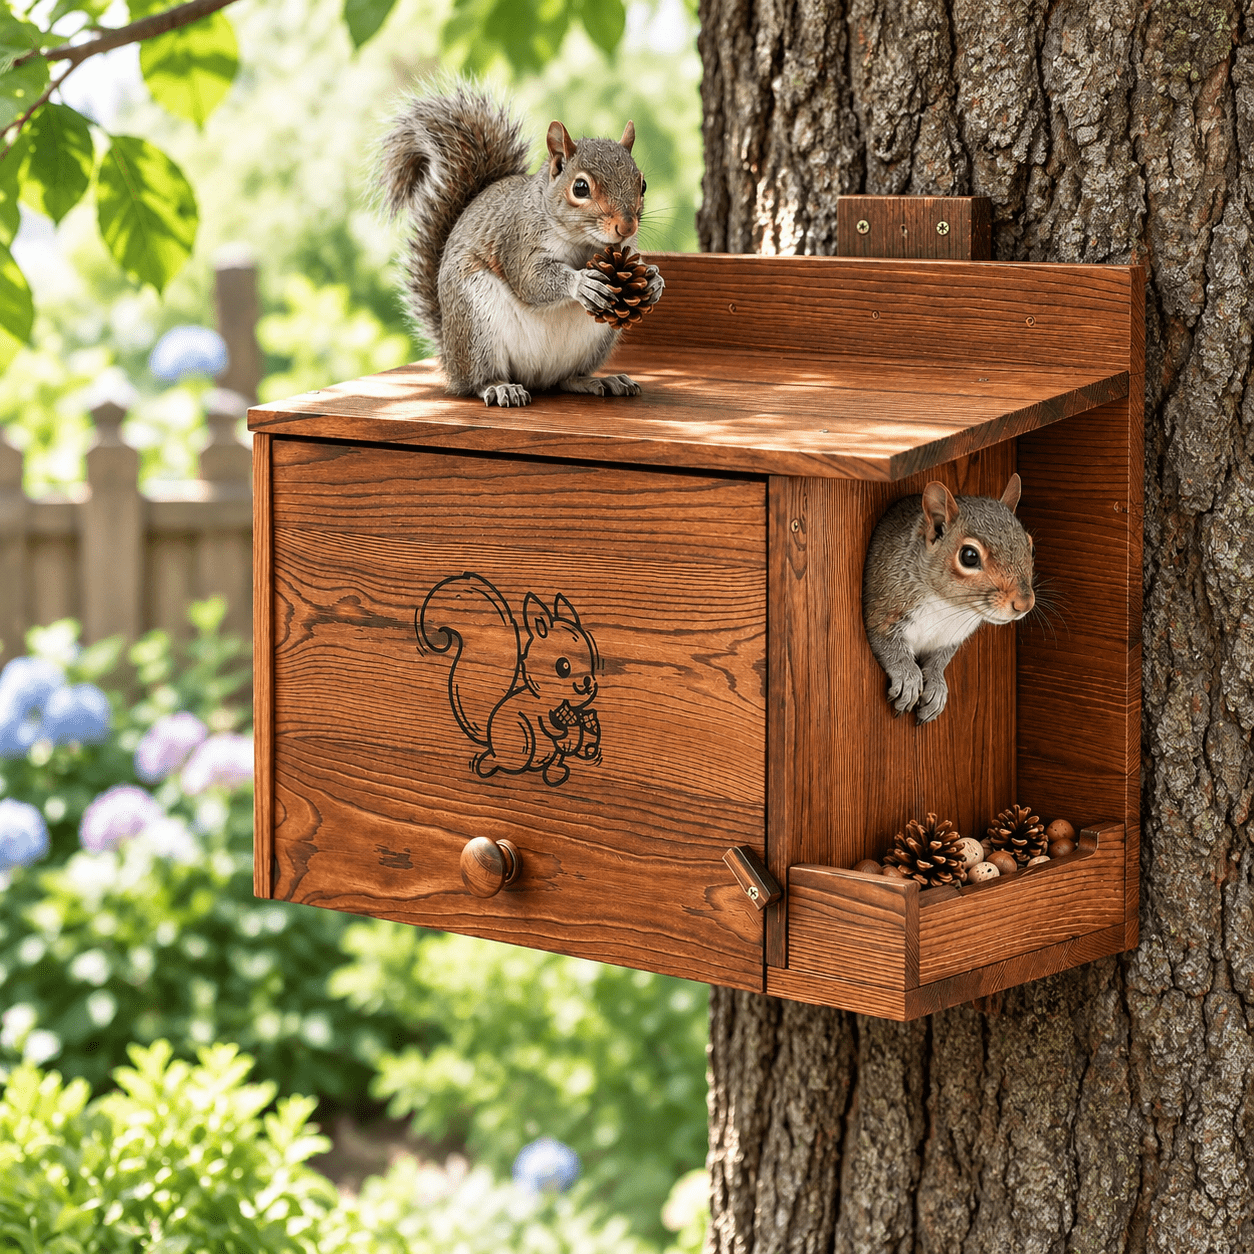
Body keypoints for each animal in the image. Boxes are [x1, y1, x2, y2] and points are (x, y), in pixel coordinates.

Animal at [379, 84, 664, 408]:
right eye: (580, 188)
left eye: (642, 185)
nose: (626, 227)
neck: (584, 243)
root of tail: (451, 359)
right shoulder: (518, 240)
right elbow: (530, 280)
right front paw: (581, 282)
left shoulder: (625, 249)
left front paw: (654, 280)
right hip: (476, 325)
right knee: (478, 380)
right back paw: (500, 387)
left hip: (596, 340)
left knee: (566, 379)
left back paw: (599, 380)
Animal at [417, 573, 601, 788]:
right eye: (563, 666)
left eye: (590, 660)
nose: (587, 684)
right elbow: (549, 724)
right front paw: (564, 731)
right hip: (523, 740)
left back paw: (555, 772)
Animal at [861, 474, 1035, 723]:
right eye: (969, 556)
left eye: (1031, 548)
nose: (1024, 604)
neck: (949, 607)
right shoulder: (882, 607)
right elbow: (887, 645)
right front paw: (908, 677)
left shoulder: (950, 637)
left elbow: (939, 660)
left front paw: (936, 685)